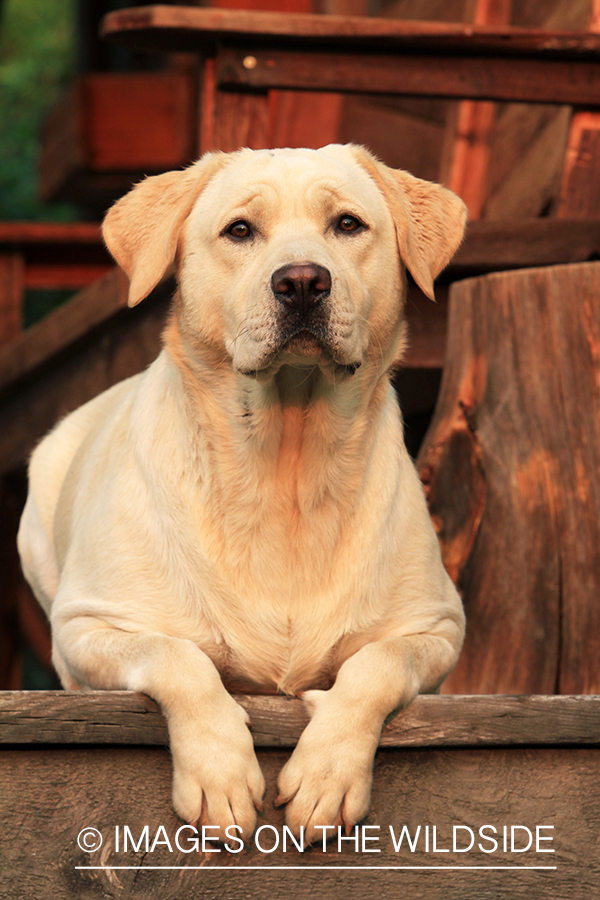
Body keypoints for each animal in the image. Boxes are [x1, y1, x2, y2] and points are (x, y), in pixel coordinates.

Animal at [16, 144, 468, 848]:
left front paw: (328, 771)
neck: (284, 465)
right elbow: (177, 656)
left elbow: (377, 665)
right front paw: (219, 772)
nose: (303, 281)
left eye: (347, 224)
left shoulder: (437, 625)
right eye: (239, 231)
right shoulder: (86, 624)